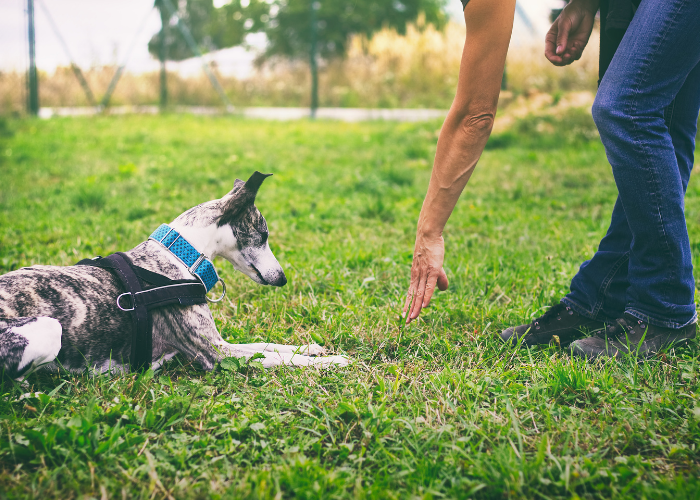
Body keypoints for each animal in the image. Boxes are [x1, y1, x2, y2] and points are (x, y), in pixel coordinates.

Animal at [0, 172, 348, 378]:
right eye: (263, 236)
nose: (282, 278)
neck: (180, 256)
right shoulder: (215, 352)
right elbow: (274, 356)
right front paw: (331, 362)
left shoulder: (220, 342)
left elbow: (268, 345)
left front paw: (311, 348)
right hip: (49, 329)